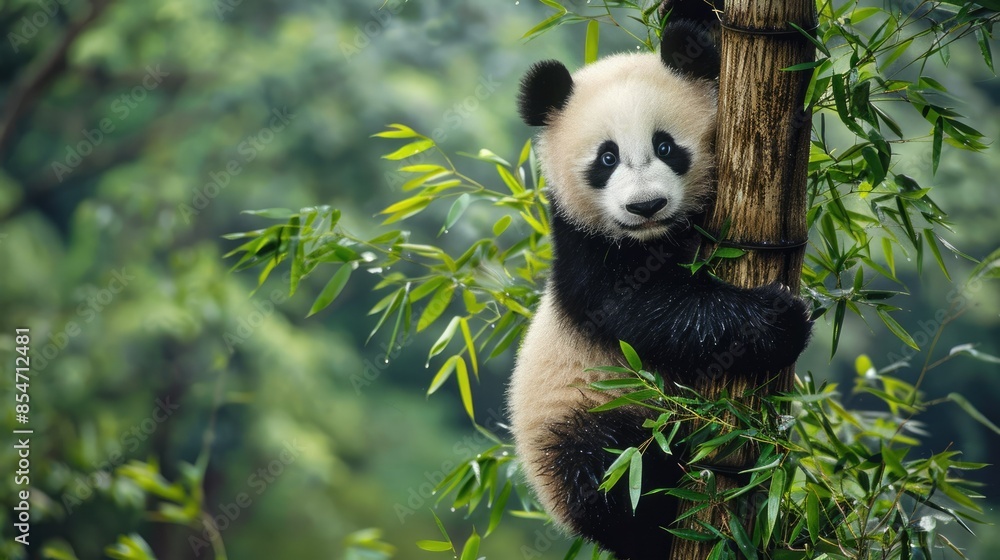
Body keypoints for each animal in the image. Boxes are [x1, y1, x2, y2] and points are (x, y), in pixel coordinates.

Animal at [507, 6, 813, 560]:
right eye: (606, 158)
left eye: (666, 146)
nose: (646, 205)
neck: (656, 237)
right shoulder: (585, 252)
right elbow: (648, 310)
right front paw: (779, 319)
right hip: (584, 415)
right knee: (615, 470)